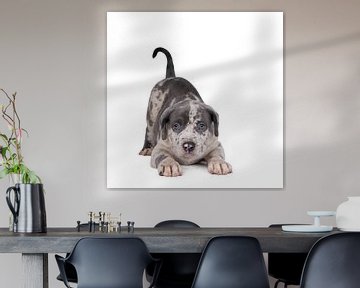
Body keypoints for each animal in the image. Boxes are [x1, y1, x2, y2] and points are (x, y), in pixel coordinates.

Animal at [139, 47, 232, 177]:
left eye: (201, 125)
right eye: (176, 126)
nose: (188, 145)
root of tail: (171, 77)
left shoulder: (216, 145)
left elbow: (217, 154)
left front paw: (219, 163)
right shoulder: (160, 148)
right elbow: (164, 156)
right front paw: (169, 165)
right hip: (152, 110)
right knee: (148, 128)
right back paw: (147, 148)